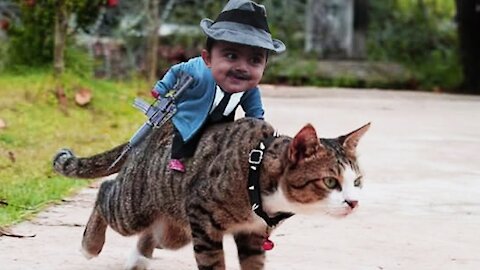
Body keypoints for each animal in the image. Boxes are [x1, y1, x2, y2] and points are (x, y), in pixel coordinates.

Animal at [52, 118, 370, 270]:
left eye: (357, 181)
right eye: (330, 182)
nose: (354, 203)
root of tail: (155, 132)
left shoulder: (252, 234)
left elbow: (254, 263)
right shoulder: (203, 219)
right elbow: (214, 263)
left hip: (176, 229)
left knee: (155, 233)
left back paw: (139, 259)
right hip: (135, 207)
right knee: (106, 193)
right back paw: (90, 245)